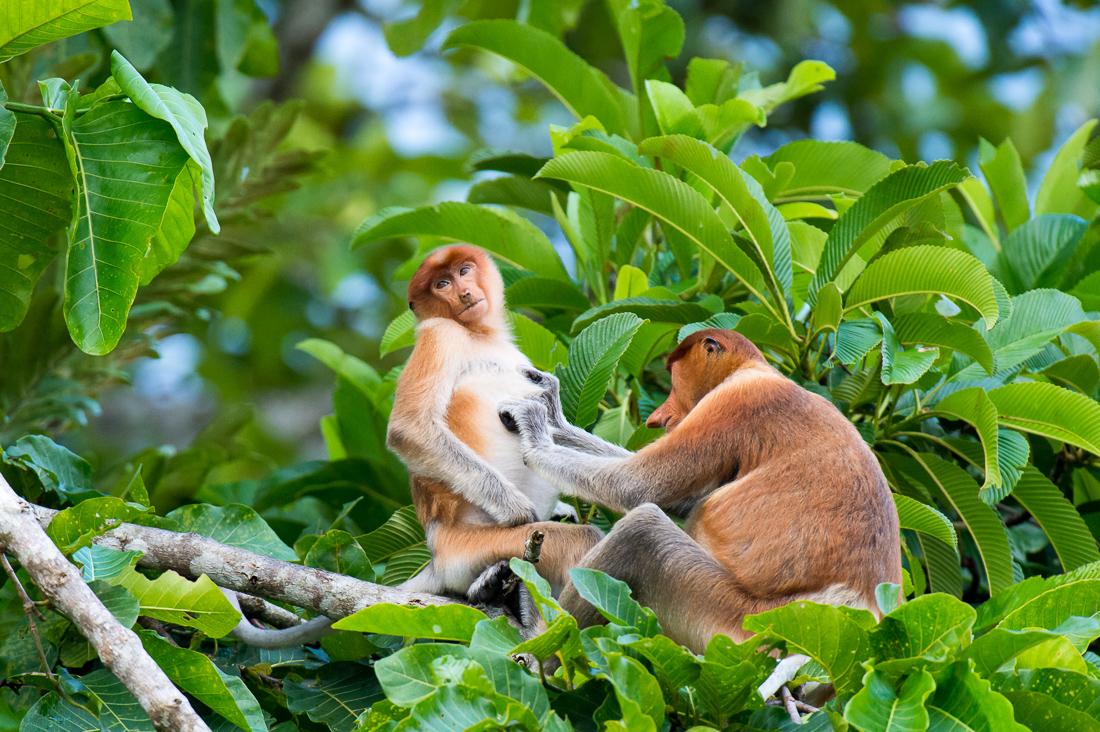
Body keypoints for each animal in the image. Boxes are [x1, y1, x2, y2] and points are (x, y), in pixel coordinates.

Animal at [385, 244, 620, 594]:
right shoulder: (440, 334)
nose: (465, 293)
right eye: (442, 285)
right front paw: (518, 510)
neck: (478, 334)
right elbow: (409, 427)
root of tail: (437, 557)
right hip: (471, 547)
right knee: (577, 542)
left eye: (464, 271)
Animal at [501, 328, 902, 647]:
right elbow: (683, 500)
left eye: (675, 378)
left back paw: (539, 639)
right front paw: (552, 412)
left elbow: (636, 486)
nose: (658, 418)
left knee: (643, 530)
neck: (752, 370)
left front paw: (535, 430)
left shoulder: (733, 404)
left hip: (732, 621)